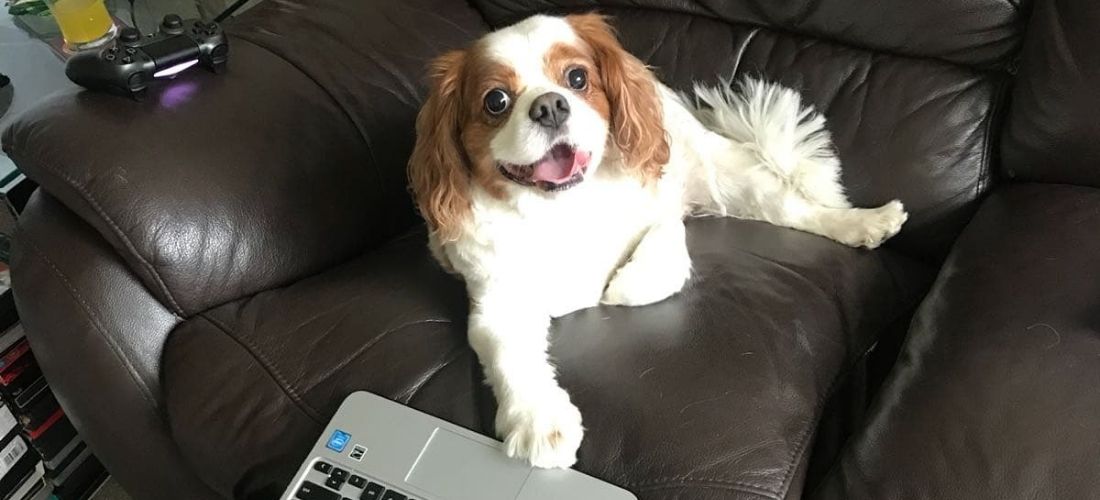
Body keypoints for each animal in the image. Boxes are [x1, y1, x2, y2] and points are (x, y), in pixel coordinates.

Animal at [409, 13, 906, 472]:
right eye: (496, 101)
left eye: (577, 78)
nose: (550, 106)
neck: (563, 209)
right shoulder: (498, 302)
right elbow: (513, 358)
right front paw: (539, 422)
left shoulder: (663, 205)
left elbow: (667, 249)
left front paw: (623, 287)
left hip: (725, 174)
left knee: (792, 206)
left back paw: (864, 222)